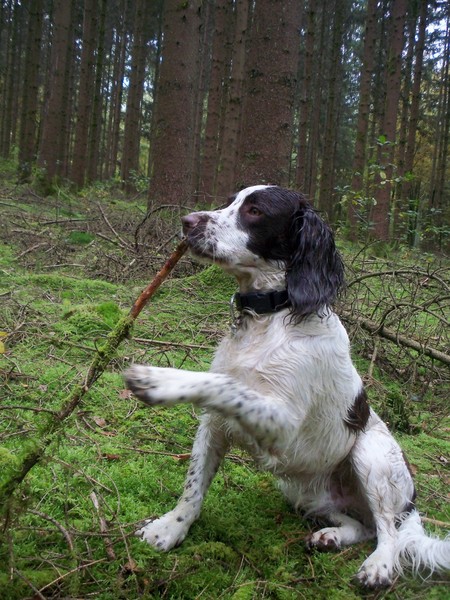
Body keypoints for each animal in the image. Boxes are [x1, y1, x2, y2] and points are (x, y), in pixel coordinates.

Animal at [125, 186, 450, 584]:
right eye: (229, 201)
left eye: (254, 211)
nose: (187, 222)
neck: (269, 316)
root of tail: (412, 502)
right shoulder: (213, 426)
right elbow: (193, 486)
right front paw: (170, 528)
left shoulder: (283, 425)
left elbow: (224, 383)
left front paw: (162, 379)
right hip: (303, 491)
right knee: (364, 525)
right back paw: (332, 535)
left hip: (371, 454)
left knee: (388, 528)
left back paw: (379, 564)